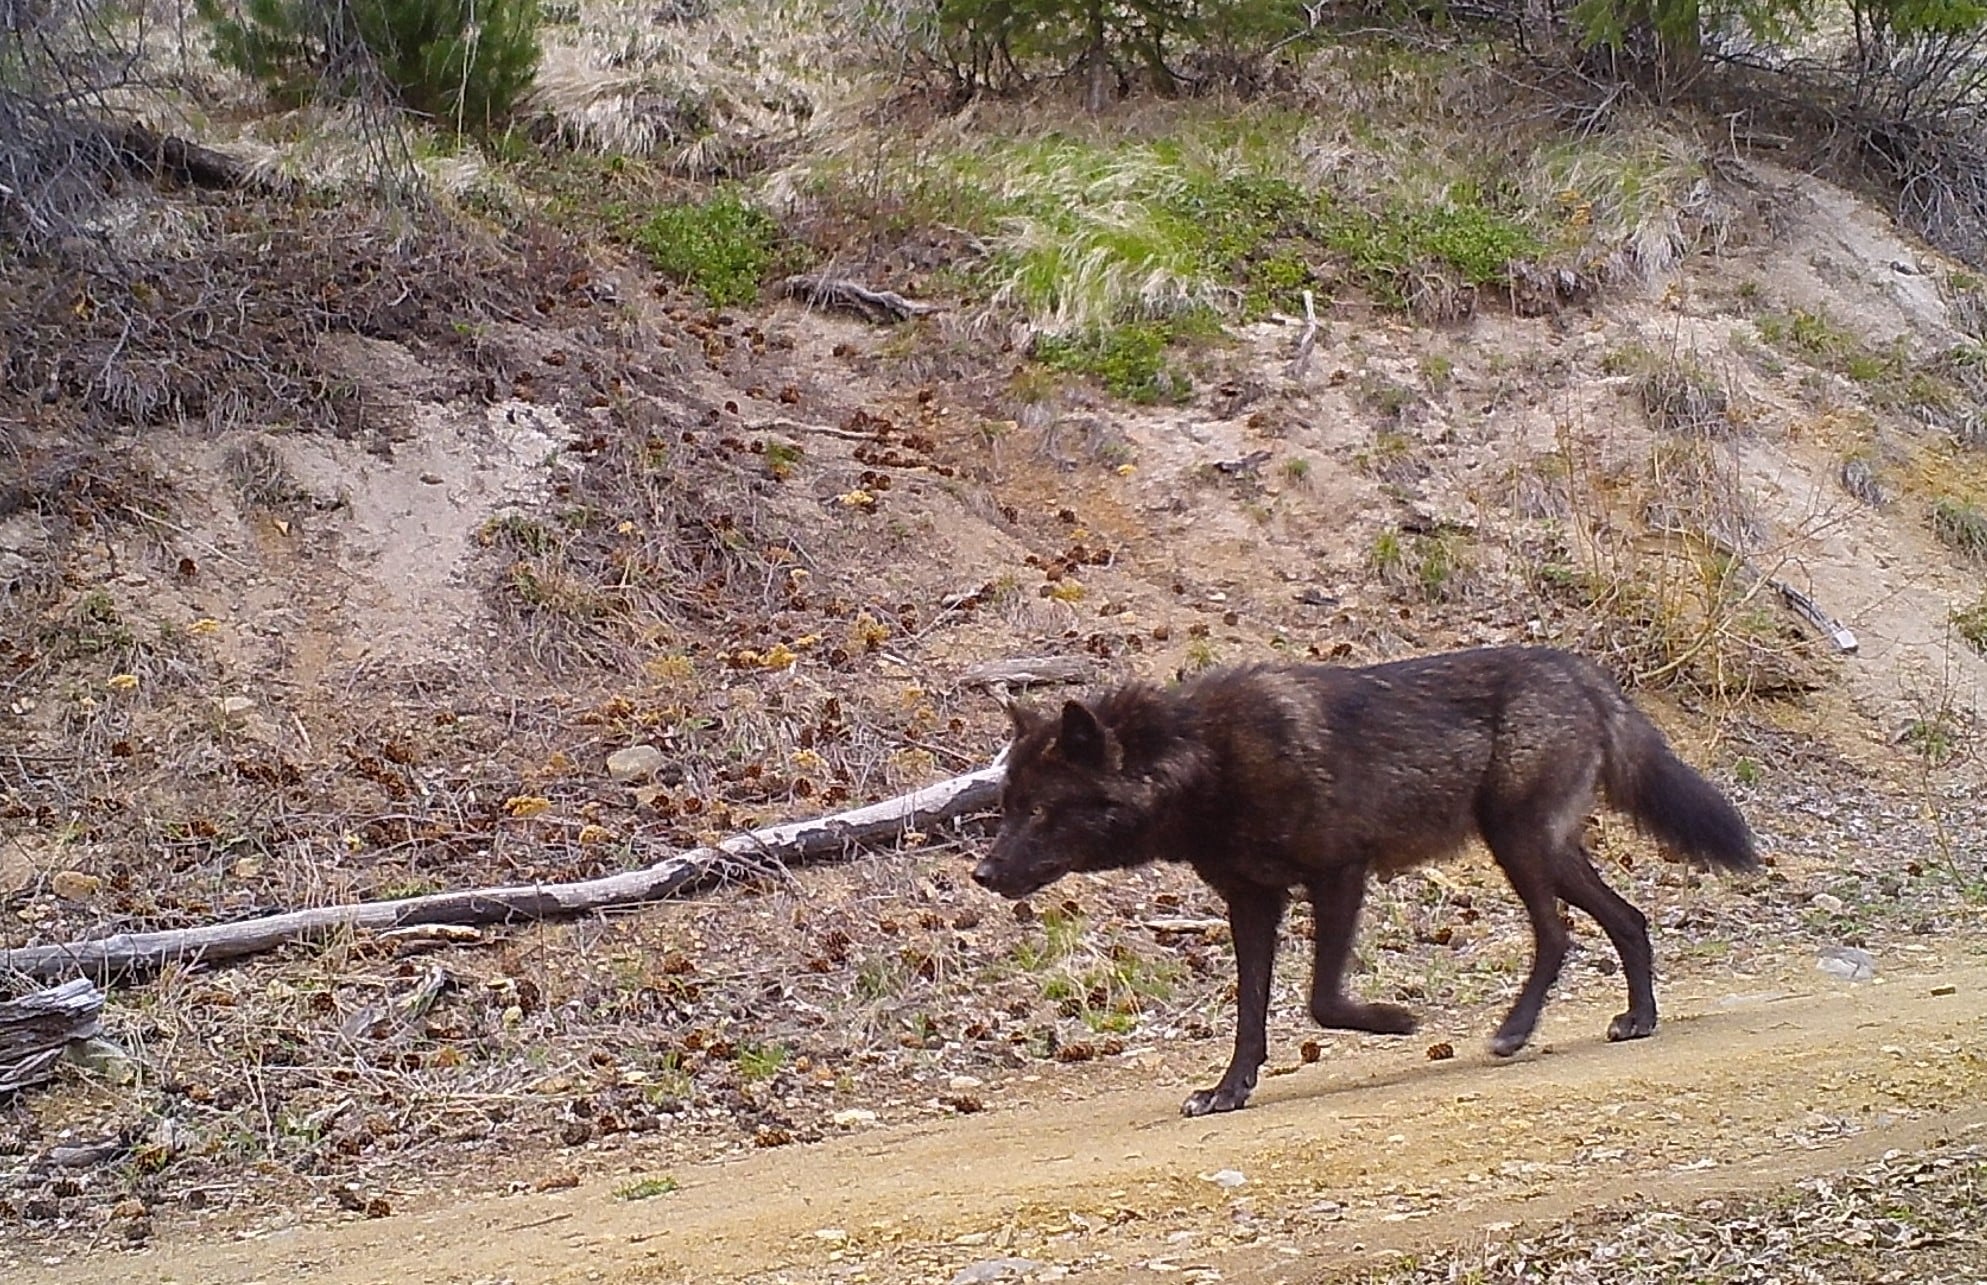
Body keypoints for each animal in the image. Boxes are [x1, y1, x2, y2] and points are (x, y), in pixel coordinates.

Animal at [969, 647, 1764, 1120]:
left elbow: (1321, 1001)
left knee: (1558, 933)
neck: (1206, 762)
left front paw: (1396, 1021)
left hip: (1519, 848)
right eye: (1006, 806)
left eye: (1037, 809)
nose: (982, 872)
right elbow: (1251, 1013)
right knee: (1627, 919)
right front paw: (1229, 1090)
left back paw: (1515, 1030)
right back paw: (1637, 1019)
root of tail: (1580, 669)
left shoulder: (1338, 874)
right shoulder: (1251, 903)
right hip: (1544, 852)